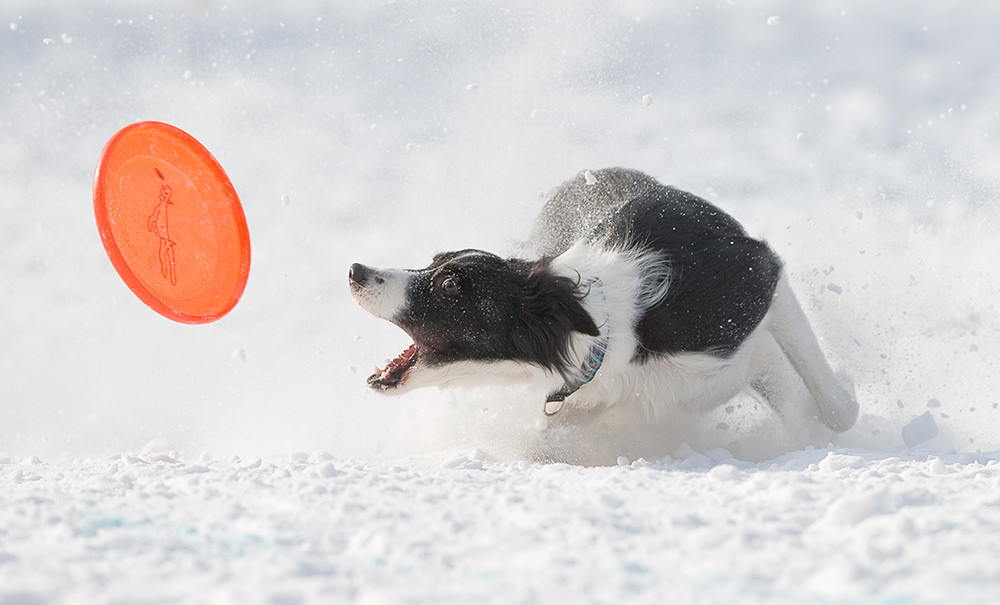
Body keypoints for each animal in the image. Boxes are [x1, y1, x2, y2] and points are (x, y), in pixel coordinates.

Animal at [348, 166, 856, 458]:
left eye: (451, 284)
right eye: (434, 262)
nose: (355, 269)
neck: (607, 333)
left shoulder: (761, 275)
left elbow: (834, 407)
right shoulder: (594, 397)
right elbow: (541, 437)